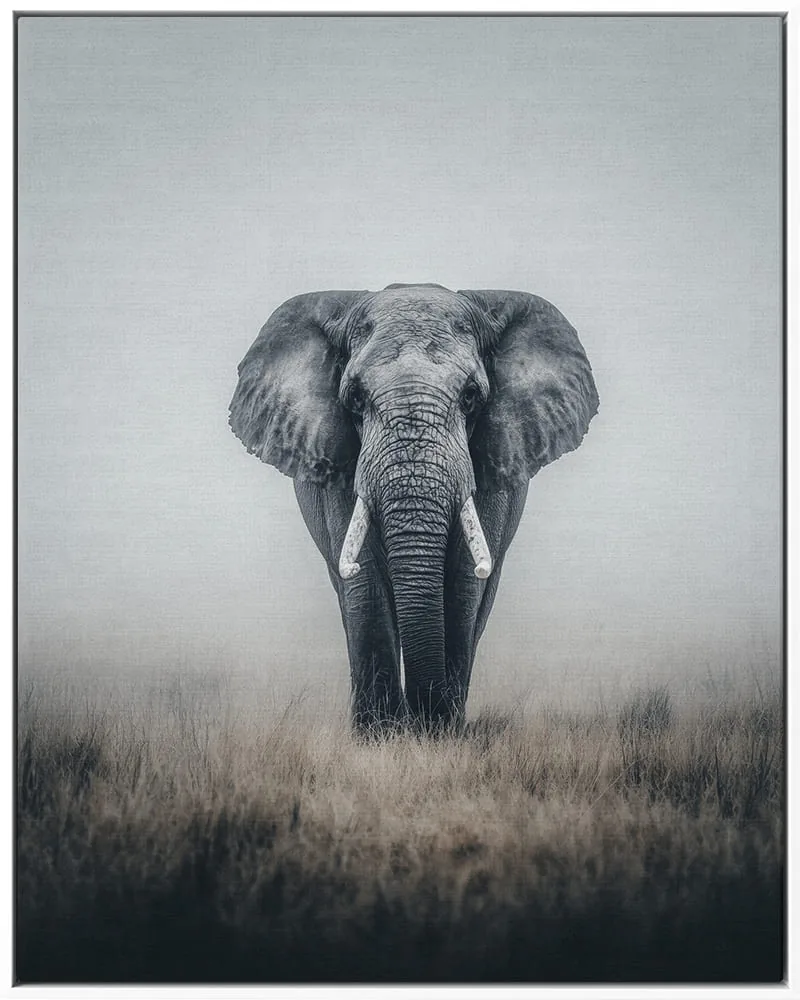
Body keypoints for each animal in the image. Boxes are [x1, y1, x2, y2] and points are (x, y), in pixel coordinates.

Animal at [229, 283, 598, 734]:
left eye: (470, 396)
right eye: (355, 398)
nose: (423, 717)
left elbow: (463, 582)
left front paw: (438, 734)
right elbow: (365, 580)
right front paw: (381, 737)